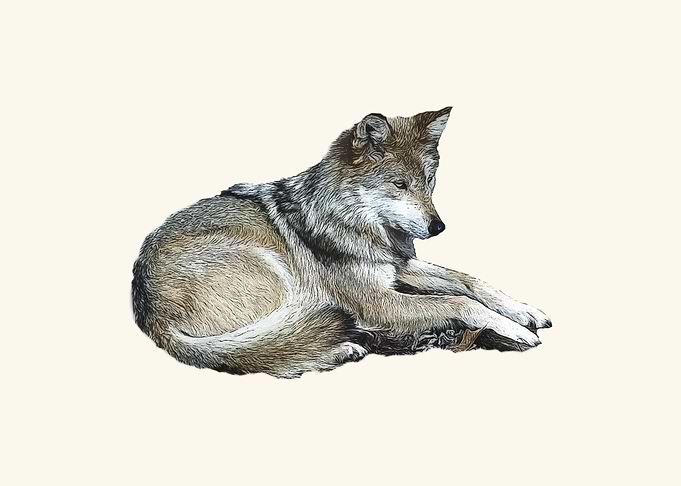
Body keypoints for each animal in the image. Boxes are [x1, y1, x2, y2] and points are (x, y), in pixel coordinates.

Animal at [131, 107, 551, 378]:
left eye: (429, 182)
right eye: (399, 183)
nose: (438, 227)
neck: (359, 226)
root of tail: (146, 310)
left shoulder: (398, 267)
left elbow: (469, 281)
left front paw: (523, 311)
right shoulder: (378, 301)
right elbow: (459, 301)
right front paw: (514, 330)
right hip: (279, 274)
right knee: (258, 353)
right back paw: (350, 346)